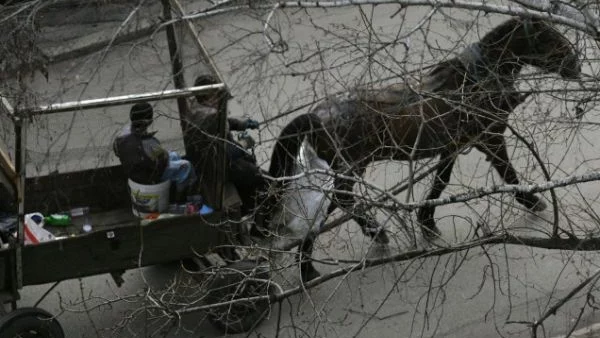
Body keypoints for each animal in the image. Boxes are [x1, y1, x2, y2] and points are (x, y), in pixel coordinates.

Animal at [266, 17, 580, 282]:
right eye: (547, 37)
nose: (576, 64)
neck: (474, 81)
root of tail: (316, 116)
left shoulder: (453, 147)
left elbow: (441, 182)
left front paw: (427, 223)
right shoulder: (490, 138)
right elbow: (508, 174)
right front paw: (533, 201)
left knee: (339, 203)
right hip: (349, 168)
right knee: (337, 203)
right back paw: (320, 262)